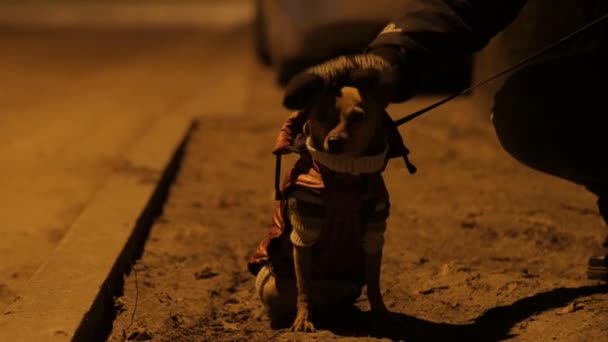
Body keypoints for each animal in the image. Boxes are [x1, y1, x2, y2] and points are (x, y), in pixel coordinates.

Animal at [247, 67, 414, 332]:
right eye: (322, 116)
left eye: (358, 116)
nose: (334, 142)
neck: (344, 178)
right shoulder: (304, 233)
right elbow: (304, 286)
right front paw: (302, 318)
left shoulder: (374, 231)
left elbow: (374, 283)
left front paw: (381, 314)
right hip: (275, 286)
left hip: (346, 287)